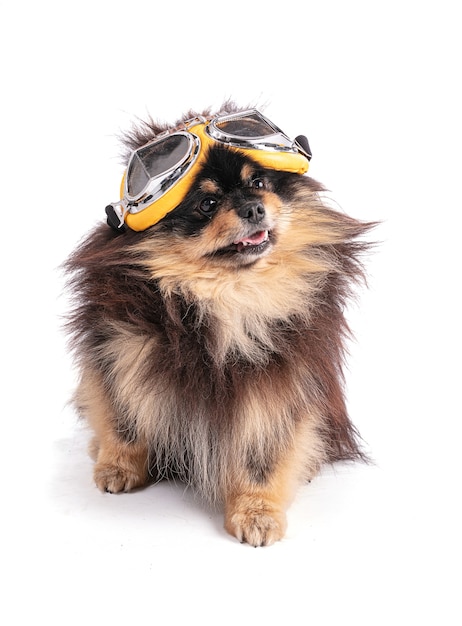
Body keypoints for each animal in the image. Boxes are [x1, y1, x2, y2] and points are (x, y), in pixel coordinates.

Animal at [65, 102, 376, 540]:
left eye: (259, 182)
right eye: (207, 205)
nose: (253, 207)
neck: (228, 295)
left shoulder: (277, 387)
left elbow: (263, 459)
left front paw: (257, 513)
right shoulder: (121, 353)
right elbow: (124, 420)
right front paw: (116, 466)